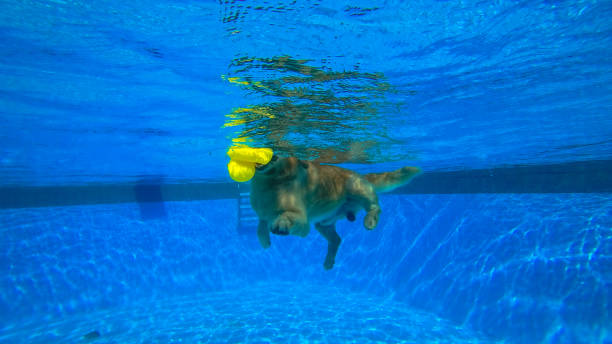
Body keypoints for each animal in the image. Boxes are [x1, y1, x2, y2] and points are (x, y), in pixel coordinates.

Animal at [250, 157, 420, 272]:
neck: (271, 181)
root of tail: (362, 175)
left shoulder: (301, 219)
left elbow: (286, 216)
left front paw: (282, 223)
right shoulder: (263, 213)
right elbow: (261, 225)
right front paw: (264, 240)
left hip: (358, 189)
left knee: (374, 207)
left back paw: (370, 221)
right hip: (323, 224)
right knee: (336, 239)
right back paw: (328, 261)